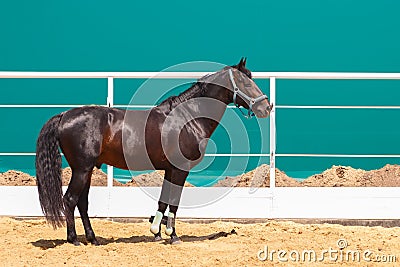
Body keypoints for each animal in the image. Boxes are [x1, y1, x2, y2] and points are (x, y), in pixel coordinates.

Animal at [35, 58, 272, 245]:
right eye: (245, 81)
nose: (266, 108)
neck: (187, 118)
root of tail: (64, 115)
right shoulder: (180, 169)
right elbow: (174, 201)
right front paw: (172, 236)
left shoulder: (169, 169)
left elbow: (163, 200)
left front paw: (156, 233)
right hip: (82, 169)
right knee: (70, 199)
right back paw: (74, 239)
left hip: (87, 170)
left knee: (82, 202)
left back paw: (92, 238)